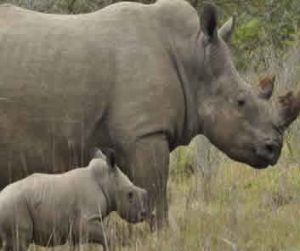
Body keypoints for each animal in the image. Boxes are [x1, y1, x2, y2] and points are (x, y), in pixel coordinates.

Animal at [0, 0, 298, 226]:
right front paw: (160, 236)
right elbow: (155, 193)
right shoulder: (144, 133)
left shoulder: (130, 138)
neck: (192, 57)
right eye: (240, 102)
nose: (274, 148)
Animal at [0, 148, 148, 250]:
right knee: (20, 242)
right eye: (130, 195)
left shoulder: (75, 229)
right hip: (13, 206)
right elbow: (108, 235)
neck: (106, 181)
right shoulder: (86, 221)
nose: (143, 214)